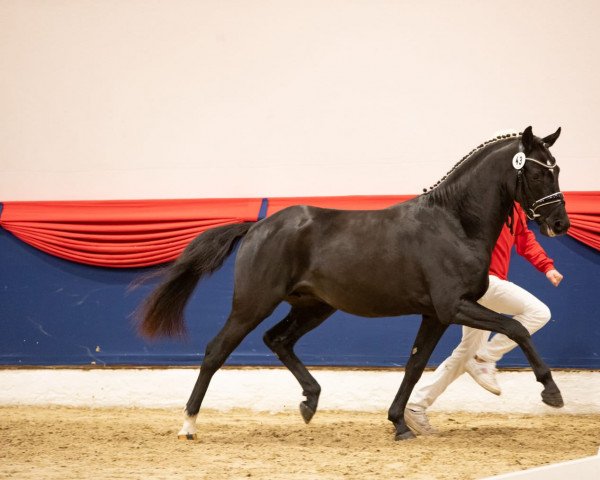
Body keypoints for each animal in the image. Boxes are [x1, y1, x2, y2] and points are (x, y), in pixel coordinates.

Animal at [138, 125, 568, 440]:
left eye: (557, 169)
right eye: (536, 171)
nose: (560, 223)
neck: (454, 223)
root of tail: (258, 226)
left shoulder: (435, 314)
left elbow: (416, 365)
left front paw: (399, 423)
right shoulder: (453, 306)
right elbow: (515, 327)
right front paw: (552, 391)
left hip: (314, 306)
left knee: (278, 340)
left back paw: (310, 402)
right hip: (253, 304)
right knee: (216, 351)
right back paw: (189, 425)